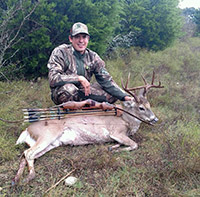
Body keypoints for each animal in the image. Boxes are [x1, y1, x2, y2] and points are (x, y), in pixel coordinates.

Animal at [11, 72, 163, 185]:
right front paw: (115, 150)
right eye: (141, 108)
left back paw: (16, 179)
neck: (126, 120)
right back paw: (28, 177)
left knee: (26, 155)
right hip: (47, 135)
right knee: (28, 153)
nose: (155, 119)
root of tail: (27, 130)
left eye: (149, 105)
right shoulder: (116, 132)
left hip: (52, 143)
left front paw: (112, 147)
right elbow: (134, 144)